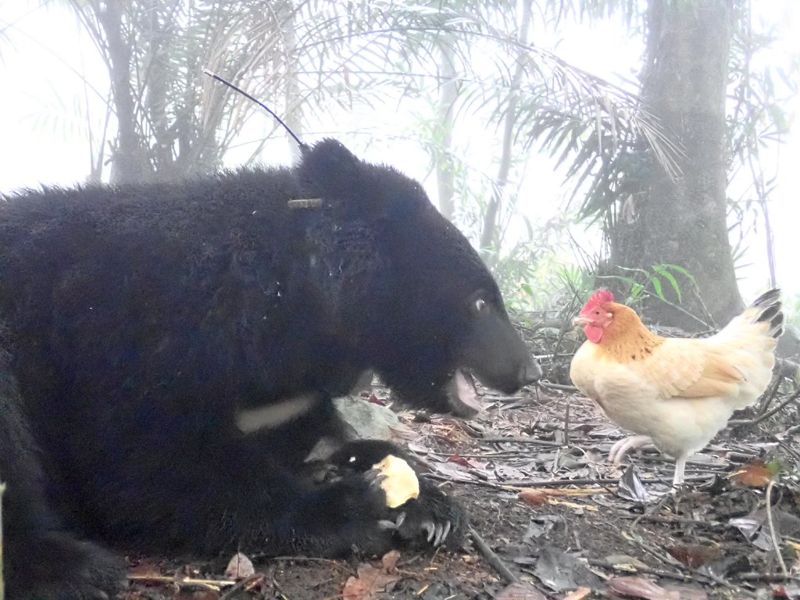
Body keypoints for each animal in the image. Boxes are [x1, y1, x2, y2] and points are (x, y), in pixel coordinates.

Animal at [0, 139, 539, 598]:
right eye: (480, 303)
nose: (528, 372)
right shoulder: (133, 340)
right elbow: (150, 463)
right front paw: (355, 507)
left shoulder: (281, 397)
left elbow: (310, 441)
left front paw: (428, 505)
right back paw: (74, 569)